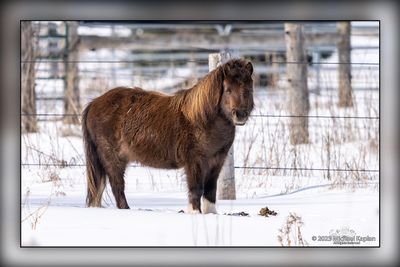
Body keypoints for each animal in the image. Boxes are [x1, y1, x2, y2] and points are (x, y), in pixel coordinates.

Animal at [83, 58, 255, 214]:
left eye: (248, 90)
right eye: (228, 90)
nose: (240, 115)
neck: (203, 120)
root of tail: (94, 103)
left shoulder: (217, 161)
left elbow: (210, 190)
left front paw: (211, 214)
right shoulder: (194, 162)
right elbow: (196, 188)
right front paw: (195, 213)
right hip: (113, 159)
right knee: (117, 187)